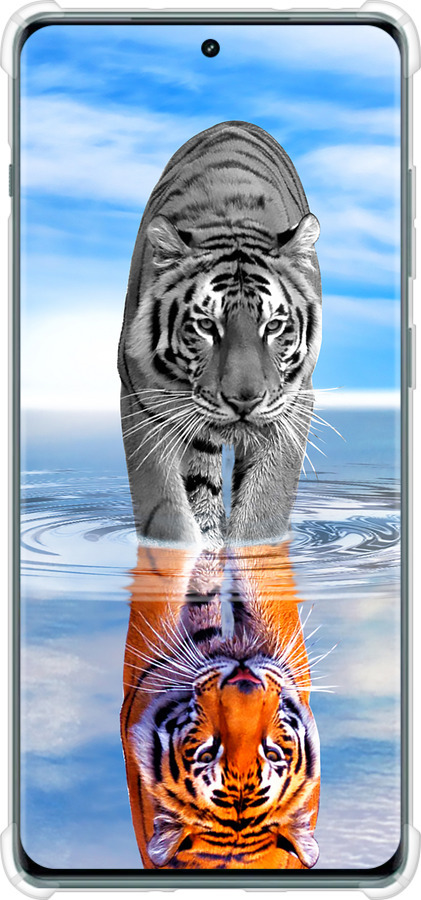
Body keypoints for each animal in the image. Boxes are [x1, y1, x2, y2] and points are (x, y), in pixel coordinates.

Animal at [118, 120, 322, 549]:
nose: (244, 400)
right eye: (207, 325)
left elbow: (264, 509)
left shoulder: (293, 404)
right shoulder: (142, 401)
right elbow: (166, 512)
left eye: (273, 326)